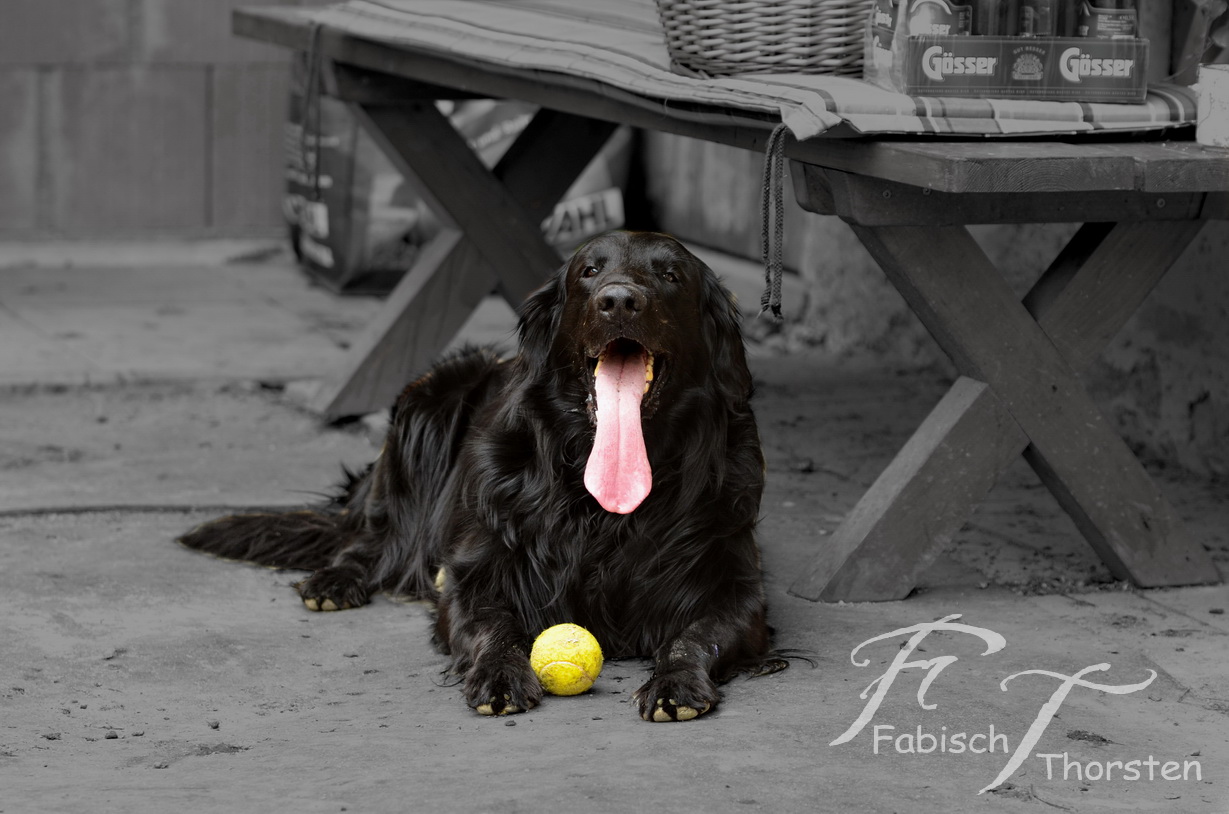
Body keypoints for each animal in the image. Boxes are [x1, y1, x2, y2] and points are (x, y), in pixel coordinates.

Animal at [178, 229, 781, 723]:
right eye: (589, 271)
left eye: (670, 275)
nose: (618, 300)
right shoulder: (470, 575)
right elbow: (494, 628)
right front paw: (498, 674)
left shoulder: (735, 587)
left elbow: (695, 635)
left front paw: (675, 682)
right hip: (431, 397)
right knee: (373, 539)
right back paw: (336, 579)